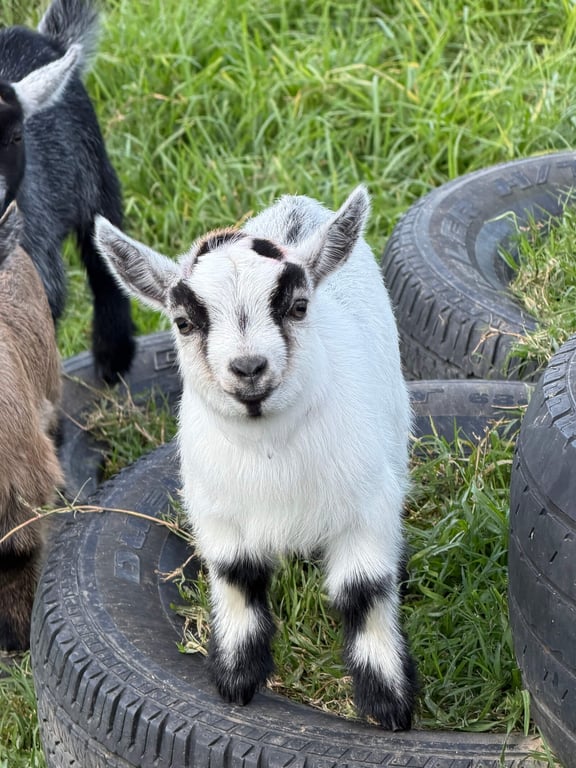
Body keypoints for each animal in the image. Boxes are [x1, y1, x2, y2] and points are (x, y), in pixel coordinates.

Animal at [93, 187, 418, 729]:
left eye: (299, 306)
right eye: (183, 322)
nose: (248, 369)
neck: (270, 453)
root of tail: (295, 203)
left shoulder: (367, 507)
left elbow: (364, 592)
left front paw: (388, 702)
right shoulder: (216, 511)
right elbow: (236, 578)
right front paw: (236, 680)